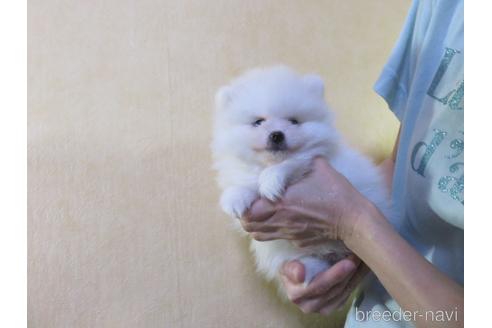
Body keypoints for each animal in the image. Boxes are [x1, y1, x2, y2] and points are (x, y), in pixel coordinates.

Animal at [211, 66, 392, 298]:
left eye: (294, 121)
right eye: (258, 122)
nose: (277, 135)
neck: (267, 164)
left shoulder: (310, 159)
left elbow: (291, 163)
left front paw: (270, 182)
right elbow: (243, 181)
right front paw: (235, 198)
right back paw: (309, 273)